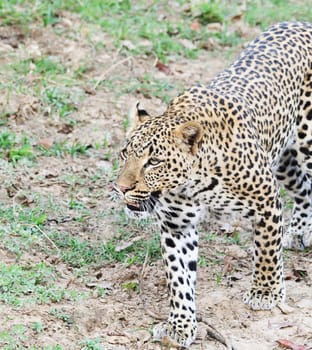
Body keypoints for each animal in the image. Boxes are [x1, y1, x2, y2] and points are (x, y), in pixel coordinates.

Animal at [114, 21, 312, 348]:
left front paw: (265, 292)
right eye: (124, 153)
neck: (193, 183)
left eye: (153, 161)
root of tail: (300, 22)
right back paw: (298, 232)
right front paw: (180, 325)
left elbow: (266, 249)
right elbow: (178, 277)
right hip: (283, 159)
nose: (121, 188)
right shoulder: (176, 225)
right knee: (304, 189)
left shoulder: (266, 199)